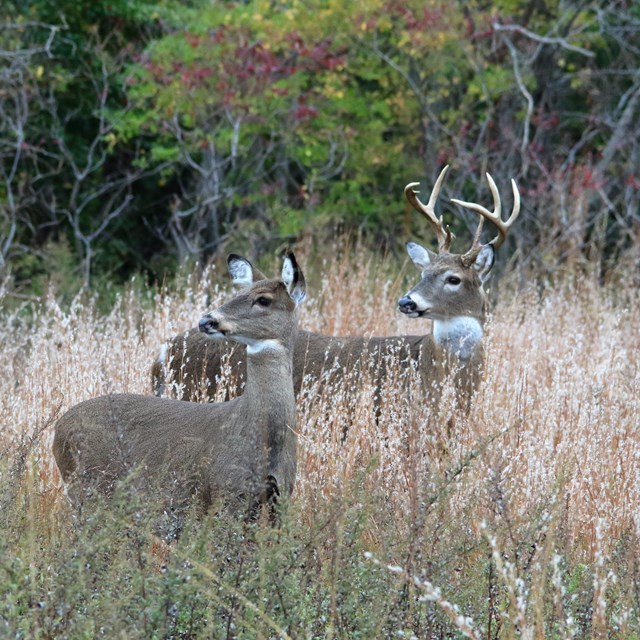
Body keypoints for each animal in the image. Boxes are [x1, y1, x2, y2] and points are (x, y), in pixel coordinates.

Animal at [52, 250, 308, 524]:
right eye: (235, 295)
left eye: (263, 299)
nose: (206, 320)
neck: (264, 436)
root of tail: (58, 430)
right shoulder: (225, 491)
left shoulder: (280, 496)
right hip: (88, 486)